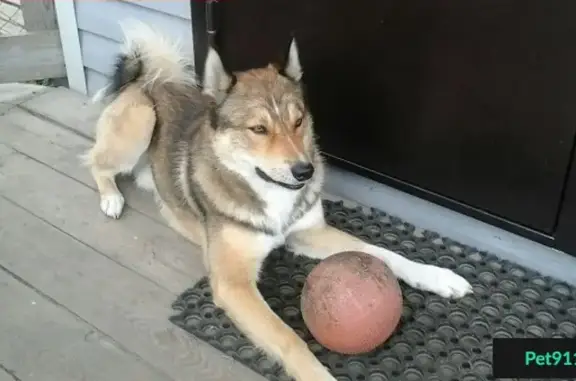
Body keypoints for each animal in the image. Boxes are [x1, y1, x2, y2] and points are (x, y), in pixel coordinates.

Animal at [83, 20, 472, 380]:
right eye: (258, 130)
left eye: (298, 121)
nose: (306, 171)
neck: (269, 192)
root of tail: (144, 79)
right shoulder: (233, 283)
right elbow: (289, 338)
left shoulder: (308, 233)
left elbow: (379, 253)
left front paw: (436, 276)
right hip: (141, 121)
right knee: (94, 162)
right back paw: (111, 197)